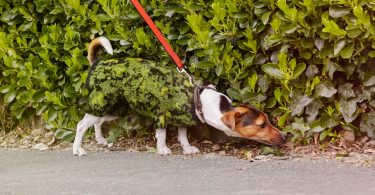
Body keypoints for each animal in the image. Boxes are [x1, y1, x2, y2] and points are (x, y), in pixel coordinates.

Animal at [72, 36, 286, 156]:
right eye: (261, 125)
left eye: (268, 120)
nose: (285, 136)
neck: (202, 101)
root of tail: (97, 63)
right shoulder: (161, 117)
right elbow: (162, 135)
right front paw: (163, 149)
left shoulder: (184, 120)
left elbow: (183, 135)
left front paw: (187, 148)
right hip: (102, 102)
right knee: (81, 125)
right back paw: (77, 149)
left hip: (113, 108)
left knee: (97, 122)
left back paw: (100, 139)